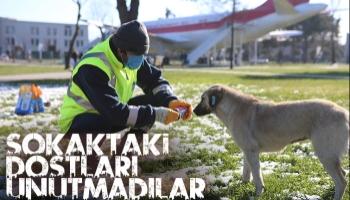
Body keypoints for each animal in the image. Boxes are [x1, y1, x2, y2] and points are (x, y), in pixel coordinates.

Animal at [193, 85, 348, 200]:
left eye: (202, 99)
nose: (193, 111)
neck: (232, 108)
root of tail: (345, 113)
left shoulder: (252, 152)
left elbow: (257, 177)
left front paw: (257, 194)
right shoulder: (246, 151)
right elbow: (246, 172)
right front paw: (243, 185)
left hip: (325, 155)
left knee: (341, 181)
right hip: (329, 156)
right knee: (343, 174)